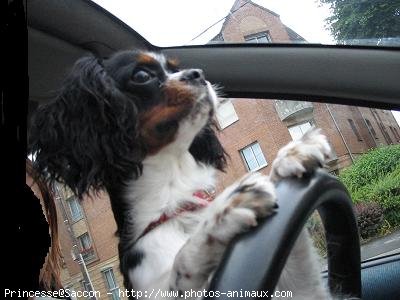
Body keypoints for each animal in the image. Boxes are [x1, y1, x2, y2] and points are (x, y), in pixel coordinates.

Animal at [28, 49, 332, 298]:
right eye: (142, 75)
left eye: (176, 67)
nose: (199, 74)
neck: (174, 193)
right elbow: (180, 264)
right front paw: (223, 214)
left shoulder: (299, 285)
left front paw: (291, 155)